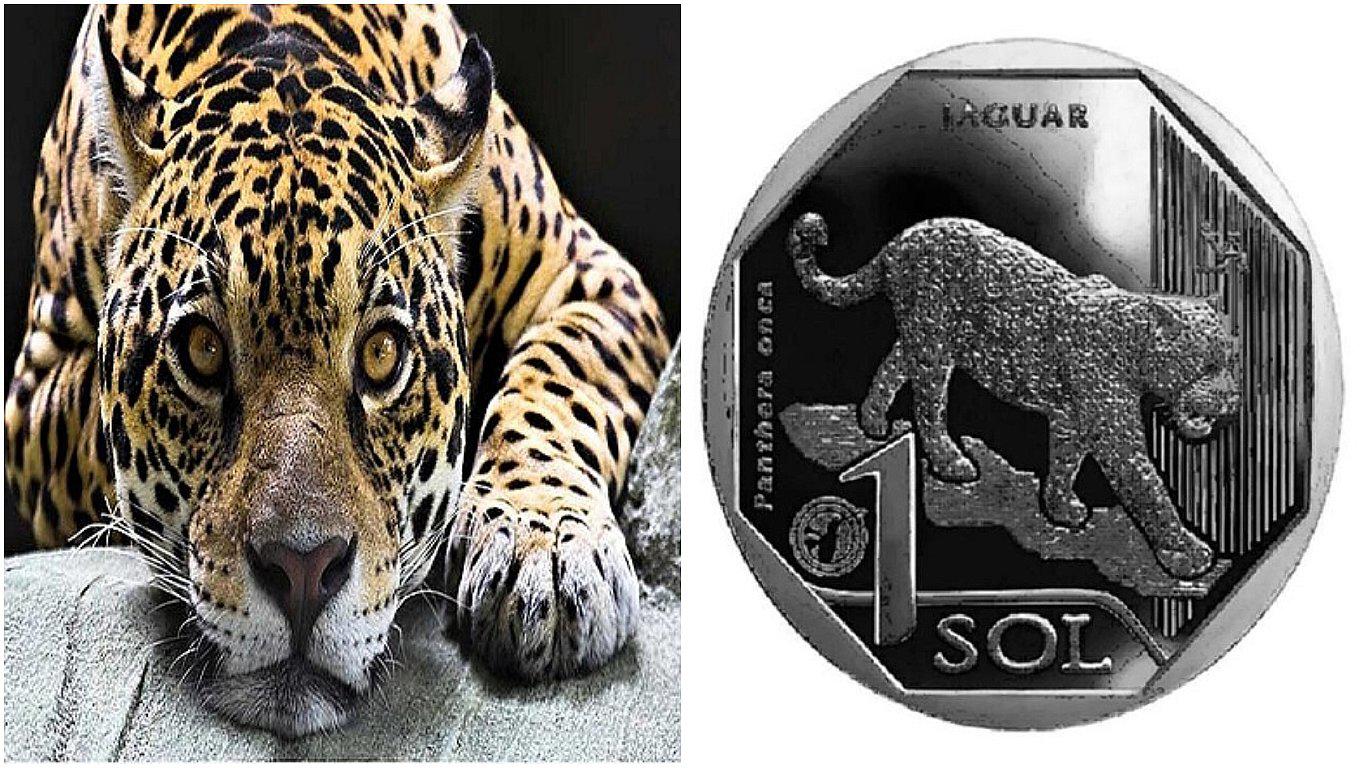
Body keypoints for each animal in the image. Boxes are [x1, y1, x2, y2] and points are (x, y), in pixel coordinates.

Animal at [4, 5, 670, 737]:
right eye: (203, 350)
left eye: (382, 354)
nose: (302, 571)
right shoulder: (35, 395)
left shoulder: (588, 277)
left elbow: (555, 381)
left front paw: (546, 550)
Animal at [787, 212, 1240, 580]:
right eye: (1203, 363)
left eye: (1232, 359)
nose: (1232, 400)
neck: (1128, 342)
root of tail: (901, 239)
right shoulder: (1113, 431)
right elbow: (1148, 486)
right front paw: (1186, 553)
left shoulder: (1071, 420)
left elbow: (1066, 462)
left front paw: (1061, 508)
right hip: (934, 346)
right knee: (929, 405)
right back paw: (951, 462)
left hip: (922, 340)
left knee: (892, 366)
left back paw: (873, 422)